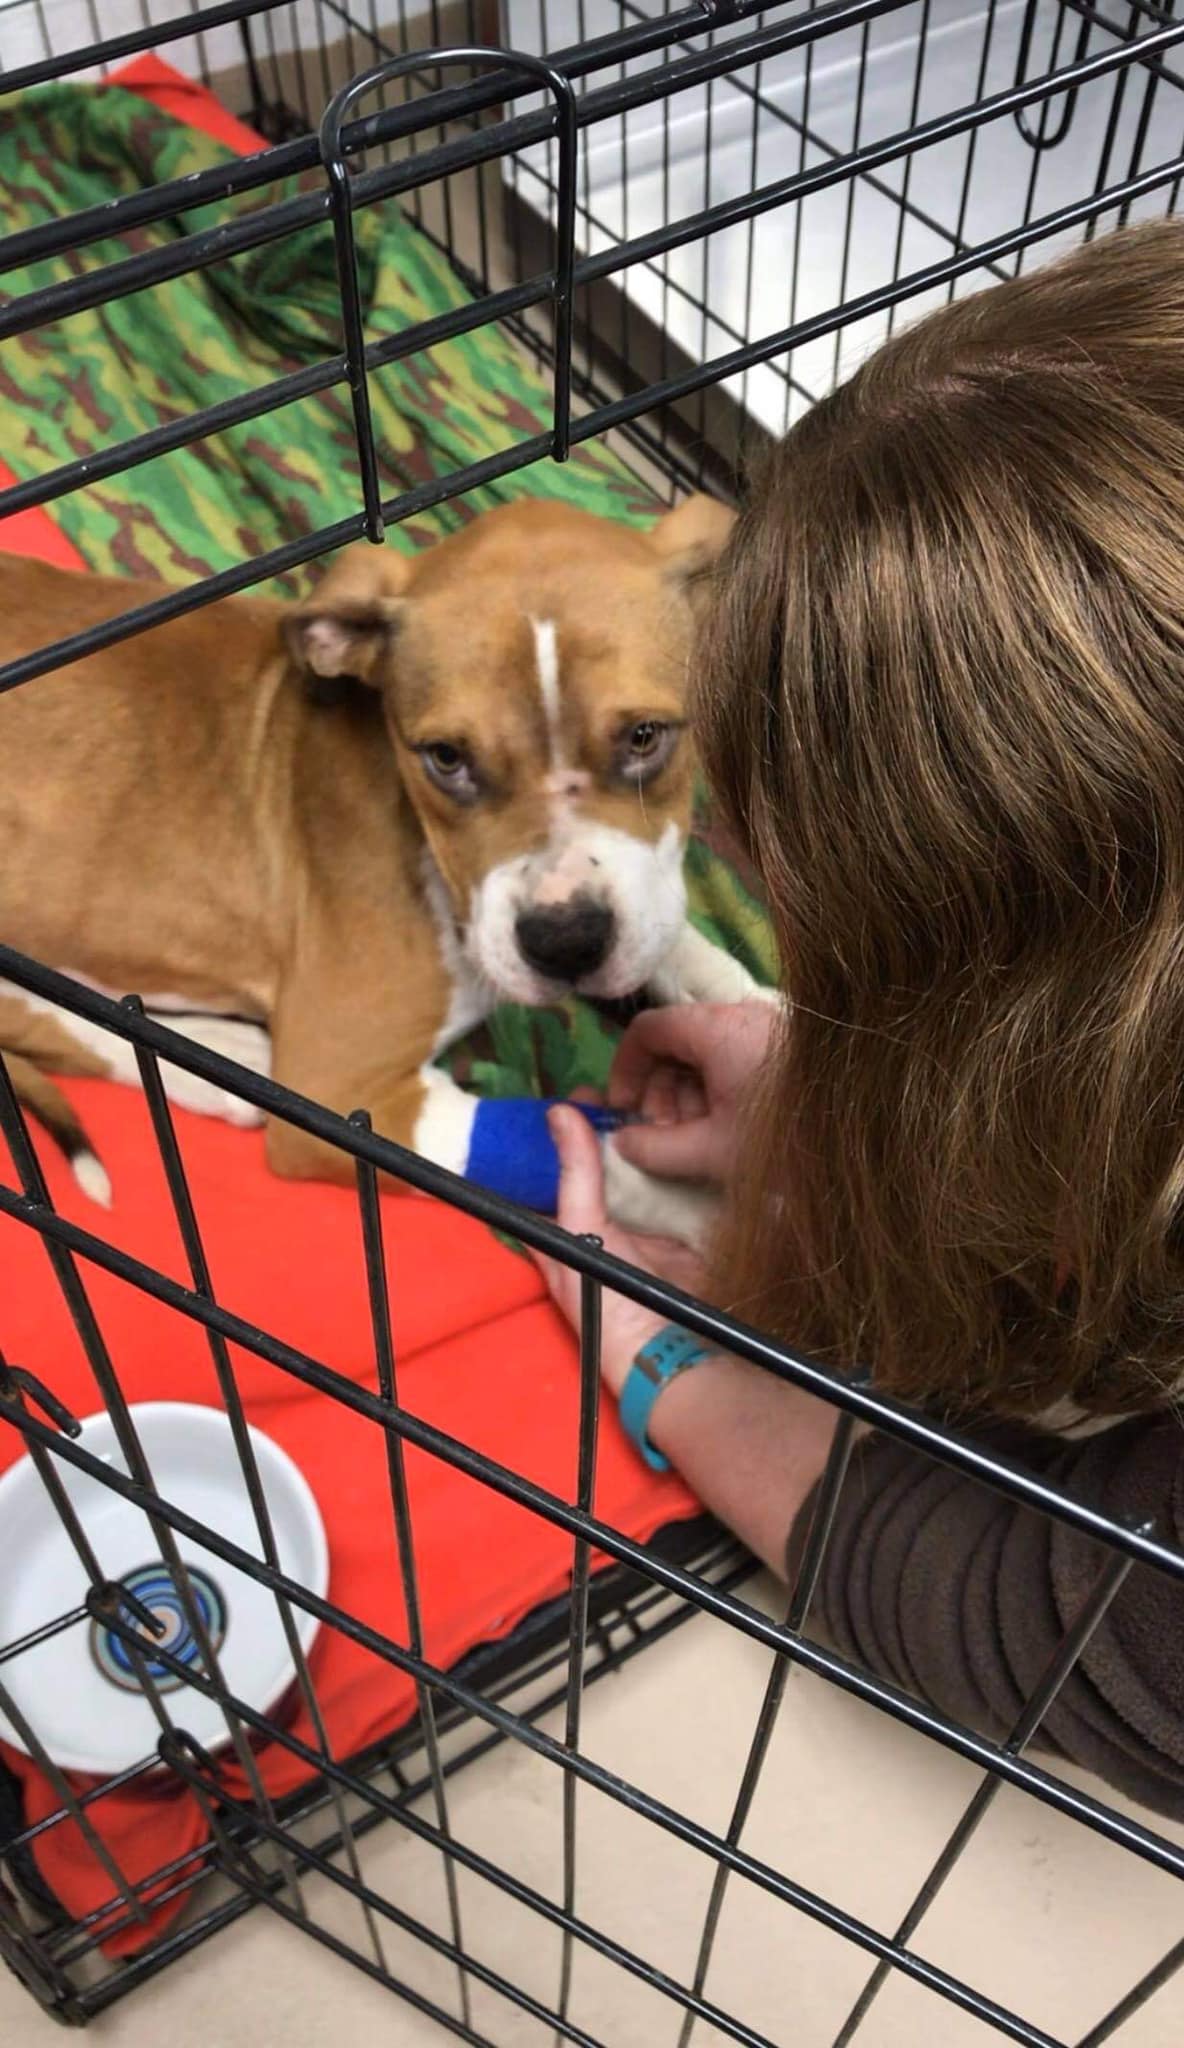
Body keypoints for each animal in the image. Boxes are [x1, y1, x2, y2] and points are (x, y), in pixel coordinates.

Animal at [0, 495, 762, 1228]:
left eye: (646, 737)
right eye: (445, 758)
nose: (564, 941)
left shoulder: (640, 904)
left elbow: (689, 953)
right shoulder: (338, 1095)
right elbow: (597, 1154)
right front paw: (722, 1219)